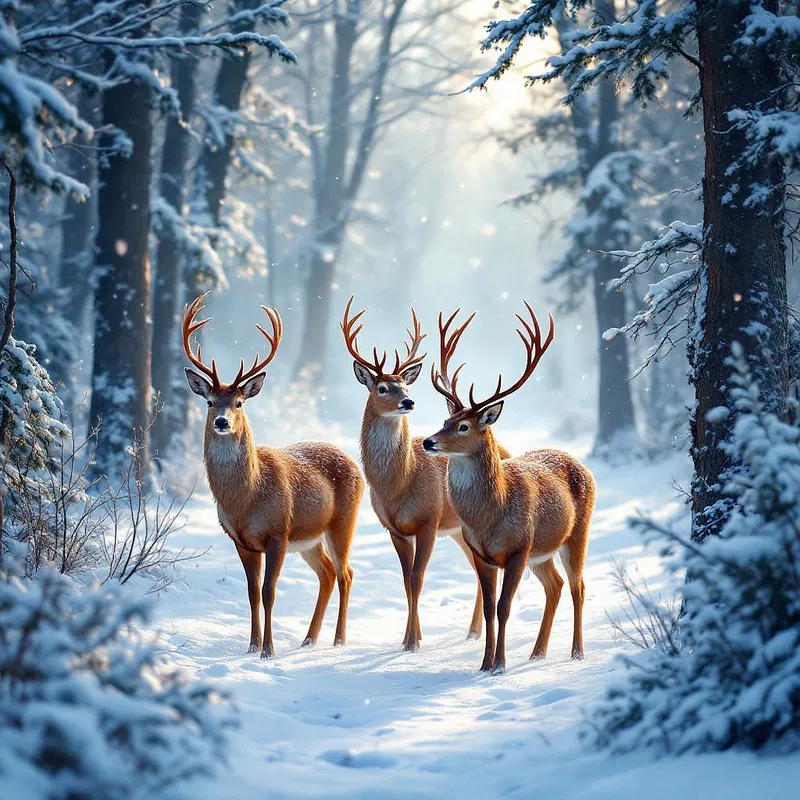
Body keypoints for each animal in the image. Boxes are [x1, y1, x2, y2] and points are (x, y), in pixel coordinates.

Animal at [183, 290, 364, 660]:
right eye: (209, 401)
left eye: (239, 403)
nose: (222, 421)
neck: (246, 499)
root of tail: (354, 463)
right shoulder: (240, 540)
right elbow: (252, 593)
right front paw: (251, 646)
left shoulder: (278, 532)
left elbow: (269, 592)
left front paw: (268, 650)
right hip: (311, 539)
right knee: (327, 574)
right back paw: (308, 639)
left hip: (342, 523)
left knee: (346, 573)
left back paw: (338, 640)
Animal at [340, 294, 510, 648]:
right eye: (381, 388)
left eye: (405, 385)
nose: (408, 402)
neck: (399, 484)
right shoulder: (393, 528)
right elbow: (406, 581)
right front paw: (410, 637)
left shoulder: (429, 520)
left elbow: (418, 578)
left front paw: (412, 642)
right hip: (460, 531)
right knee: (477, 571)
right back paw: (472, 632)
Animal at [424, 304, 592, 672]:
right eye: (445, 420)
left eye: (463, 426)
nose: (429, 441)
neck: (490, 517)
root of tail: (580, 463)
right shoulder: (481, 553)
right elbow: (489, 608)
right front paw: (484, 663)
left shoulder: (518, 549)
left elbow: (504, 607)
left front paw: (499, 665)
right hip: (541, 551)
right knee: (556, 586)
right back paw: (537, 652)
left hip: (576, 534)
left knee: (578, 586)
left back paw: (577, 652)